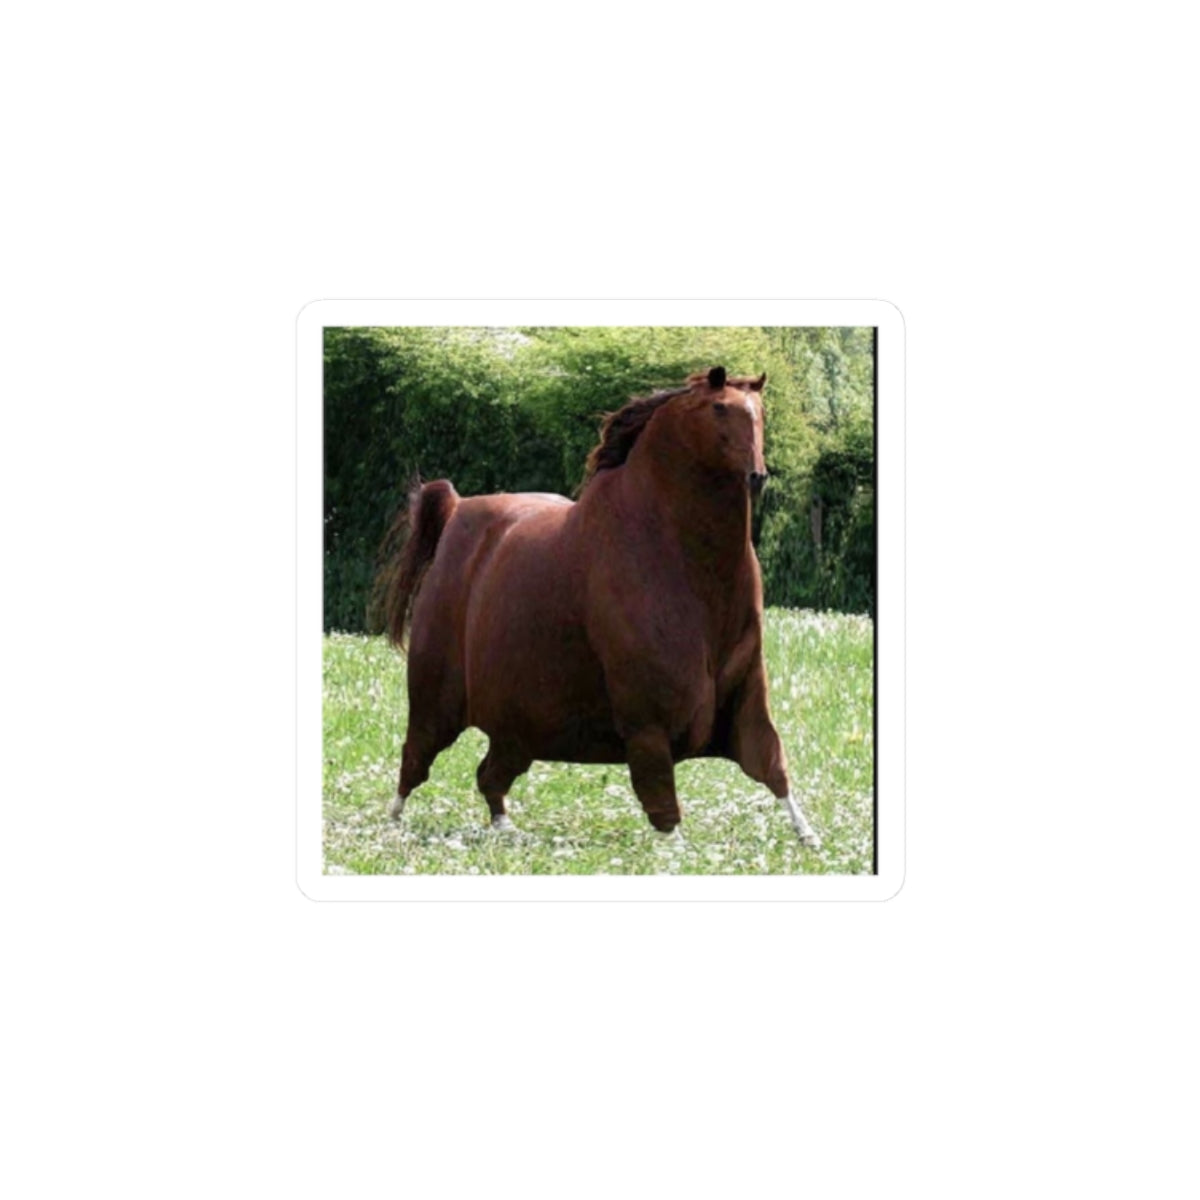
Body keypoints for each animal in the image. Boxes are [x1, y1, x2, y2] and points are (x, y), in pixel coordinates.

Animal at [374, 365, 821, 846]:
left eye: (760, 412)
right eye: (720, 408)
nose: (757, 476)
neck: (677, 555)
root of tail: (458, 510)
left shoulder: (745, 697)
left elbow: (770, 762)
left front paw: (809, 836)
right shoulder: (647, 723)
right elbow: (664, 805)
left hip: (519, 728)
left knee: (490, 774)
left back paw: (505, 828)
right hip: (435, 699)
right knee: (415, 758)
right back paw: (392, 823)